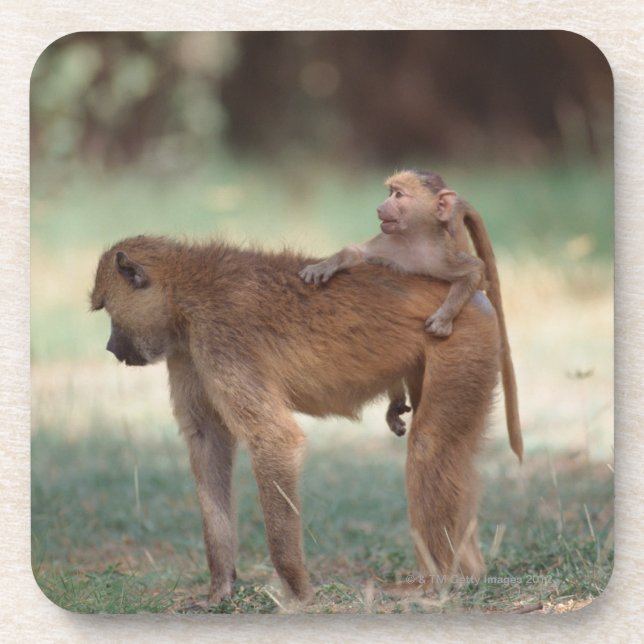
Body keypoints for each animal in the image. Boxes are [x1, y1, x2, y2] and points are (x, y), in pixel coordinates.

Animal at [91, 234, 502, 605]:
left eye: (107, 309)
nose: (110, 347)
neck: (184, 294)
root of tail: (467, 294)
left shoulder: (220, 338)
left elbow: (273, 437)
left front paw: (298, 591)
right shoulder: (187, 352)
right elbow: (207, 440)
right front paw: (220, 587)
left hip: (459, 337)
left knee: (429, 446)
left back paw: (433, 584)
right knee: (455, 453)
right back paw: (470, 574)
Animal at [299, 170, 522, 462]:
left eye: (398, 195)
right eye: (389, 192)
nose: (379, 207)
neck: (413, 240)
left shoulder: (441, 254)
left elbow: (475, 273)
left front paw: (443, 318)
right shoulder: (387, 244)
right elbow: (355, 253)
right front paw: (325, 266)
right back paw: (395, 401)